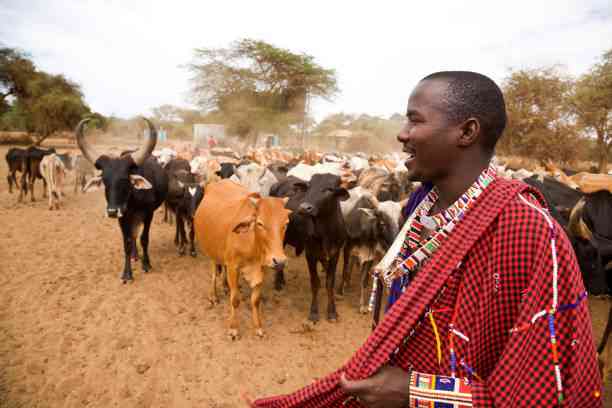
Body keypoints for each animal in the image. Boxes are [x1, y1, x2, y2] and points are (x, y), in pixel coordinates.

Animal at [76, 116, 169, 282]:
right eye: (104, 181)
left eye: (125, 180)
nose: (112, 211)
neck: (132, 201)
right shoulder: (123, 218)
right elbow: (127, 242)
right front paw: (127, 273)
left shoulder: (148, 214)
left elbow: (144, 239)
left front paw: (146, 264)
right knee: (133, 236)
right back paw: (134, 256)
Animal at [196, 180, 292, 340]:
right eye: (260, 223)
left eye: (286, 223)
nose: (279, 261)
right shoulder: (233, 266)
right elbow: (235, 299)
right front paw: (233, 328)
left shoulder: (262, 268)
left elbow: (255, 300)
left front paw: (258, 327)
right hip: (211, 250)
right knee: (214, 272)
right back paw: (213, 296)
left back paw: (225, 287)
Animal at [268, 174, 350, 320]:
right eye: (309, 187)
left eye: (328, 189)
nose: (304, 208)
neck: (325, 232)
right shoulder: (310, 254)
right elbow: (315, 282)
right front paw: (314, 312)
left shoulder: (335, 254)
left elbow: (330, 282)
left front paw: (332, 312)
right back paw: (278, 283)